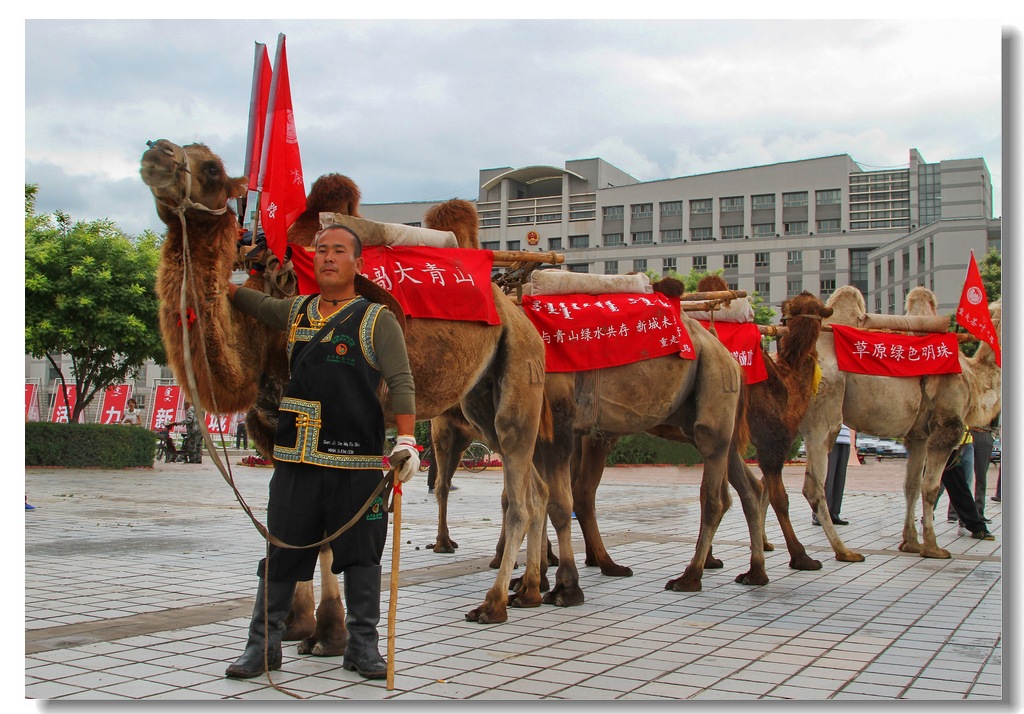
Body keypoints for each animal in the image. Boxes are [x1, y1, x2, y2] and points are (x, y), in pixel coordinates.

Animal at [139, 140, 557, 651]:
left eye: (213, 167)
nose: (157, 152)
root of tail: (520, 315)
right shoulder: (268, 425)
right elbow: (289, 517)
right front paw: (297, 623)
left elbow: (327, 528)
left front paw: (328, 631)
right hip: (481, 399)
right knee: (534, 487)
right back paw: (531, 590)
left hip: (520, 372)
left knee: (519, 495)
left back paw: (494, 603)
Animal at [798, 286, 999, 561]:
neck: (973, 378)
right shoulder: (947, 425)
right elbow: (931, 487)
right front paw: (933, 547)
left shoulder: (918, 436)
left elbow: (911, 485)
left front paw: (911, 543)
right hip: (824, 412)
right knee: (813, 485)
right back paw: (844, 551)